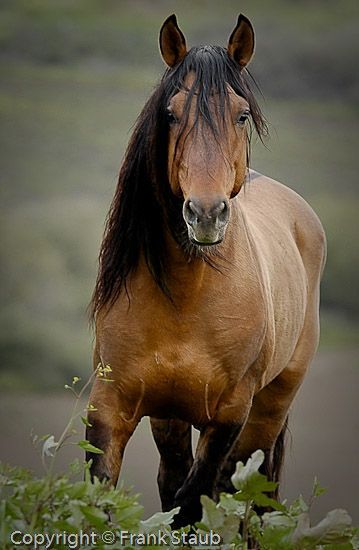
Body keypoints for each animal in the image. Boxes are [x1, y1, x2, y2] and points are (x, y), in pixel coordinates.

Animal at [86, 15, 326, 528]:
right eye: (171, 114)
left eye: (241, 115)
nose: (206, 214)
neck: (187, 293)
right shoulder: (111, 407)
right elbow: (102, 504)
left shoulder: (230, 416)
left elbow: (193, 503)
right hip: (170, 417)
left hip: (265, 417)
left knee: (251, 497)